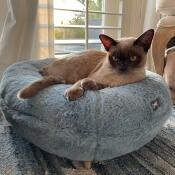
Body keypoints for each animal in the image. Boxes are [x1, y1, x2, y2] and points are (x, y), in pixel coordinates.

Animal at [17, 29, 154, 101]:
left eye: (132, 58)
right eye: (115, 58)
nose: (122, 66)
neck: (119, 79)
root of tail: (44, 68)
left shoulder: (108, 85)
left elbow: (99, 85)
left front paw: (89, 85)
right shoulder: (90, 76)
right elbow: (79, 84)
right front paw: (73, 92)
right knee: (67, 81)